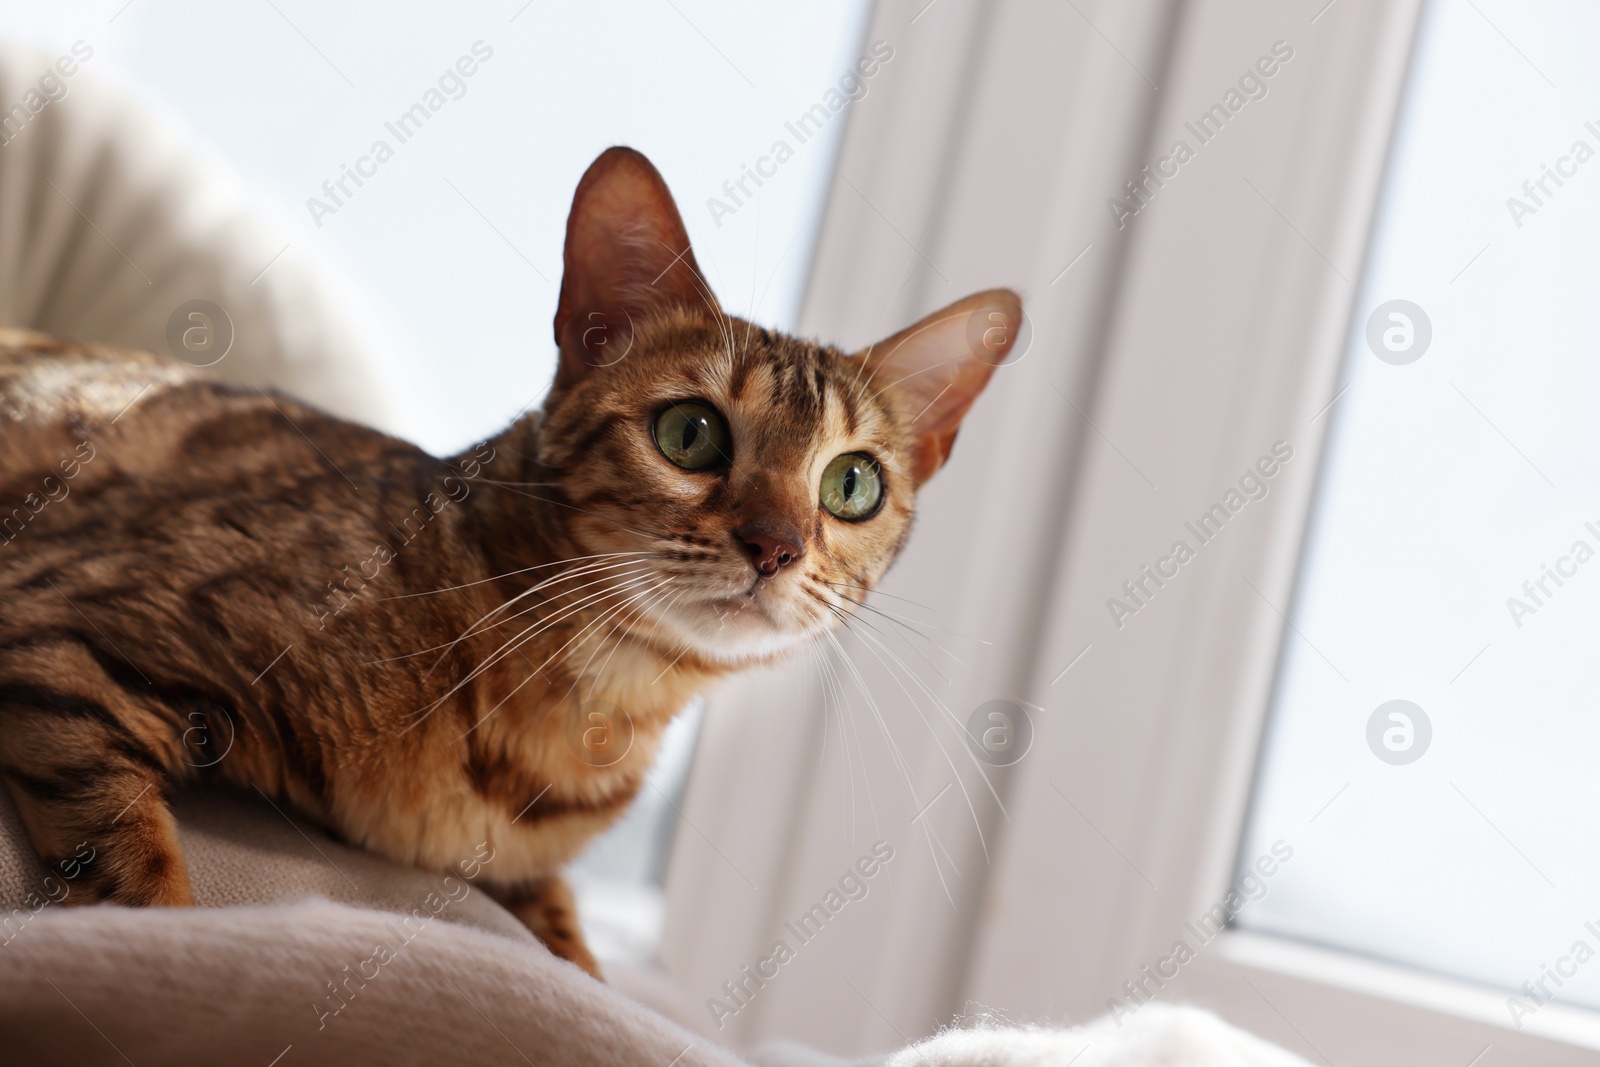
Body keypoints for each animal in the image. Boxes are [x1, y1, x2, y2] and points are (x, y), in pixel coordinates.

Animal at [0, 147, 1024, 979]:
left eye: (852, 484)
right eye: (689, 433)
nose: (776, 543)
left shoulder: (539, 875)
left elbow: (576, 951)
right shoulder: (59, 621)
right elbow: (142, 886)